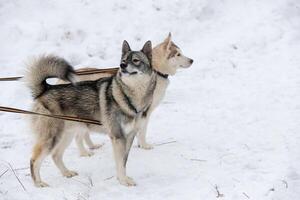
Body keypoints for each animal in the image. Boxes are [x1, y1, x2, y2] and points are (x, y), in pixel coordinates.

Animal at [26, 40, 156, 188]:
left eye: (135, 60)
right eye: (123, 61)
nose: (122, 66)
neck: (130, 97)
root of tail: (45, 89)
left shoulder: (129, 137)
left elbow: (123, 162)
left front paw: (122, 179)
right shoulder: (118, 137)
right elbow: (120, 163)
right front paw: (123, 181)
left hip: (67, 135)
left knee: (56, 155)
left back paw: (67, 173)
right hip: (52, 138)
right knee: (34, 160)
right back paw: (39, 183)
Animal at [63, 33, 193, 156]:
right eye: (178, 54)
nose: (192, 60)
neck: (156, 71)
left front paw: (140, 144)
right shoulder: (145, 113)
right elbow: (142, 131)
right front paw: (144, 145)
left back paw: (93, 146)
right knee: (78, 137)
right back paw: (85, 153)